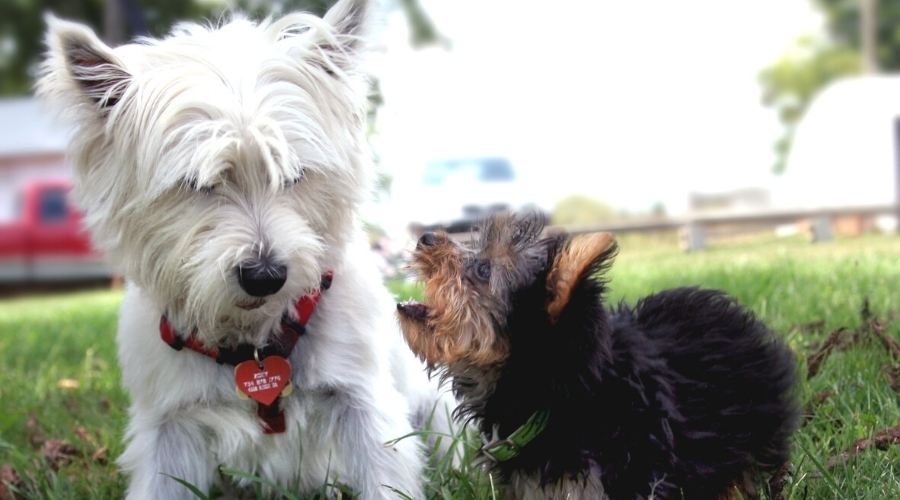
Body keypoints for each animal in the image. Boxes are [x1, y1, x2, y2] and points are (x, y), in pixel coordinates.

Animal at [39, 1, 454, 498]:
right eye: (197, 184)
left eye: (293, 174)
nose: (265, 276)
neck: (253, 344)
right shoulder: (168, 427)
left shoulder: (363, 403)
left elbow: (383, 478)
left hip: (437, 410)